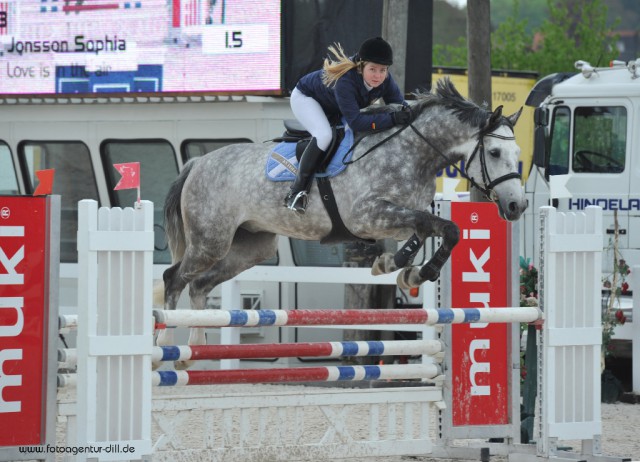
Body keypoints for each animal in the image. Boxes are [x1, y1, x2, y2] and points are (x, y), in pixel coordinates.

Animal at [155, 79, 524, 368]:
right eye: (494, 153)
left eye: (517, 154)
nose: (517, 205)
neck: (413, 153)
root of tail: (198, 163)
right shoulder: (367, 214)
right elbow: (438, 227)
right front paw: (411, 269)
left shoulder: (398, 217)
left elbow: (432, 229)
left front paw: (400, 268)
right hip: (210, 241)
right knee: (173, 279)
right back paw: (166, 350)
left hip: (250, 248)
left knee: (199, 285)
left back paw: (194, 350)